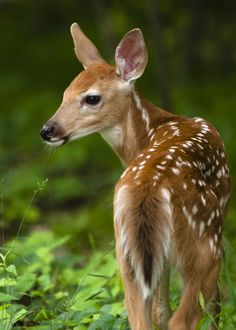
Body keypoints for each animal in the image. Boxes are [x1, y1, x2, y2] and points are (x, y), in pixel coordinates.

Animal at [40, 23, 230, 330]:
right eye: (65, 94)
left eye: (91, 97)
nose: (48, 130)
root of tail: (147, 190)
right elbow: (210, 308)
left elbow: (160, 311)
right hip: (204, 242)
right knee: (185, 317)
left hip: (127, 253)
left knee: (143, 318)